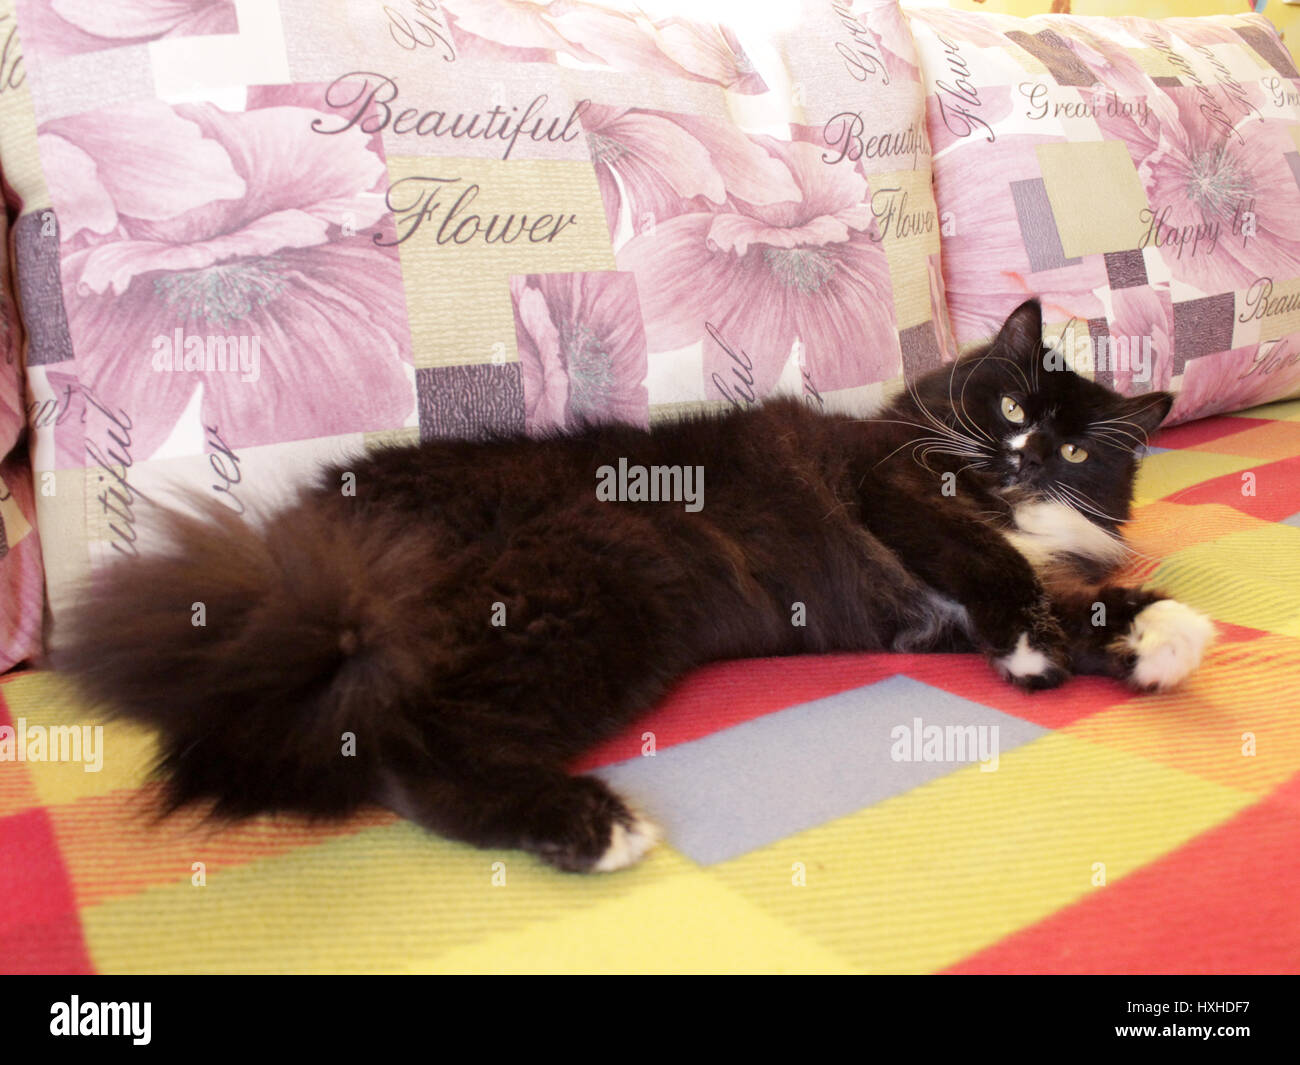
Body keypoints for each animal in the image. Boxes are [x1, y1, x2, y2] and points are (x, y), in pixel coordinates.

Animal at [58, 300, 1216, 873]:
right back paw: (593, 828)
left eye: (1080, 454)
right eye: (1013, 412)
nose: (1028, 459)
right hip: (604, 575)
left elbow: (1084, 605)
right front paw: (1036, 649)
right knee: (405, 755)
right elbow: (1004, 576)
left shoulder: (933, 614)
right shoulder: (896, 496)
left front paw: (1164, 635)